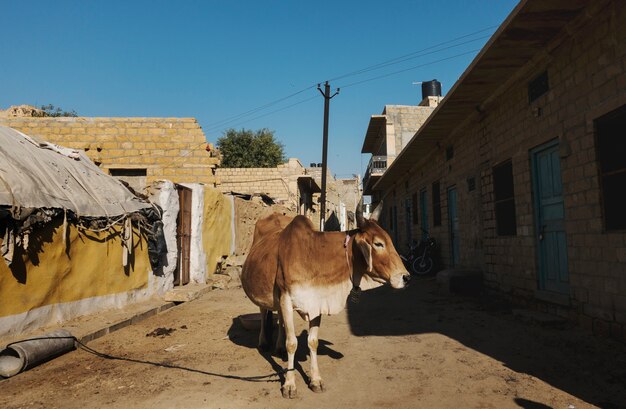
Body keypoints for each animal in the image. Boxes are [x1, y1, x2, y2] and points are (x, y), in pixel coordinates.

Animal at [239, 202, 410, 396]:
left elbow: (312, 342)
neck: (314, 255)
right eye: (378, 243)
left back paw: (279, 347)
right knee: (263, 312)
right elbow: (293, 343)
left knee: (280, 319)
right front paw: (289, 384)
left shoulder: (316, 302)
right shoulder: (286, 299)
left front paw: (316, 380)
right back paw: (263, 342)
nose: (406, 277)